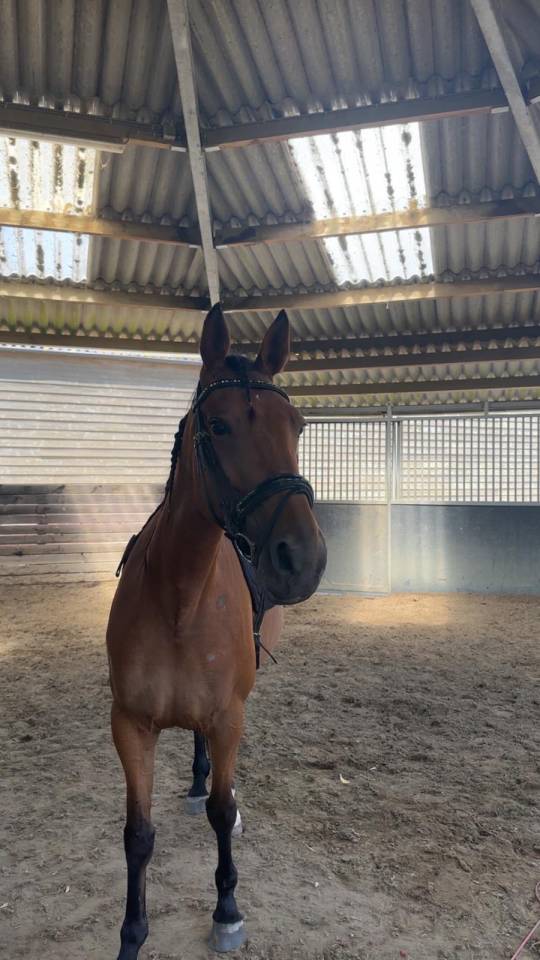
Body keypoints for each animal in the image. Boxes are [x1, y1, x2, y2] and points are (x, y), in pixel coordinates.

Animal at [106, 303, 327, 957]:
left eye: (297, 425)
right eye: (220, 426)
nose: (302, 558)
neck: (181, 598)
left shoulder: (230, 716)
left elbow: (224, 812)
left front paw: (227, 909)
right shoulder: (130, 725)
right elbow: (138, 835)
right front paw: (132, 935)